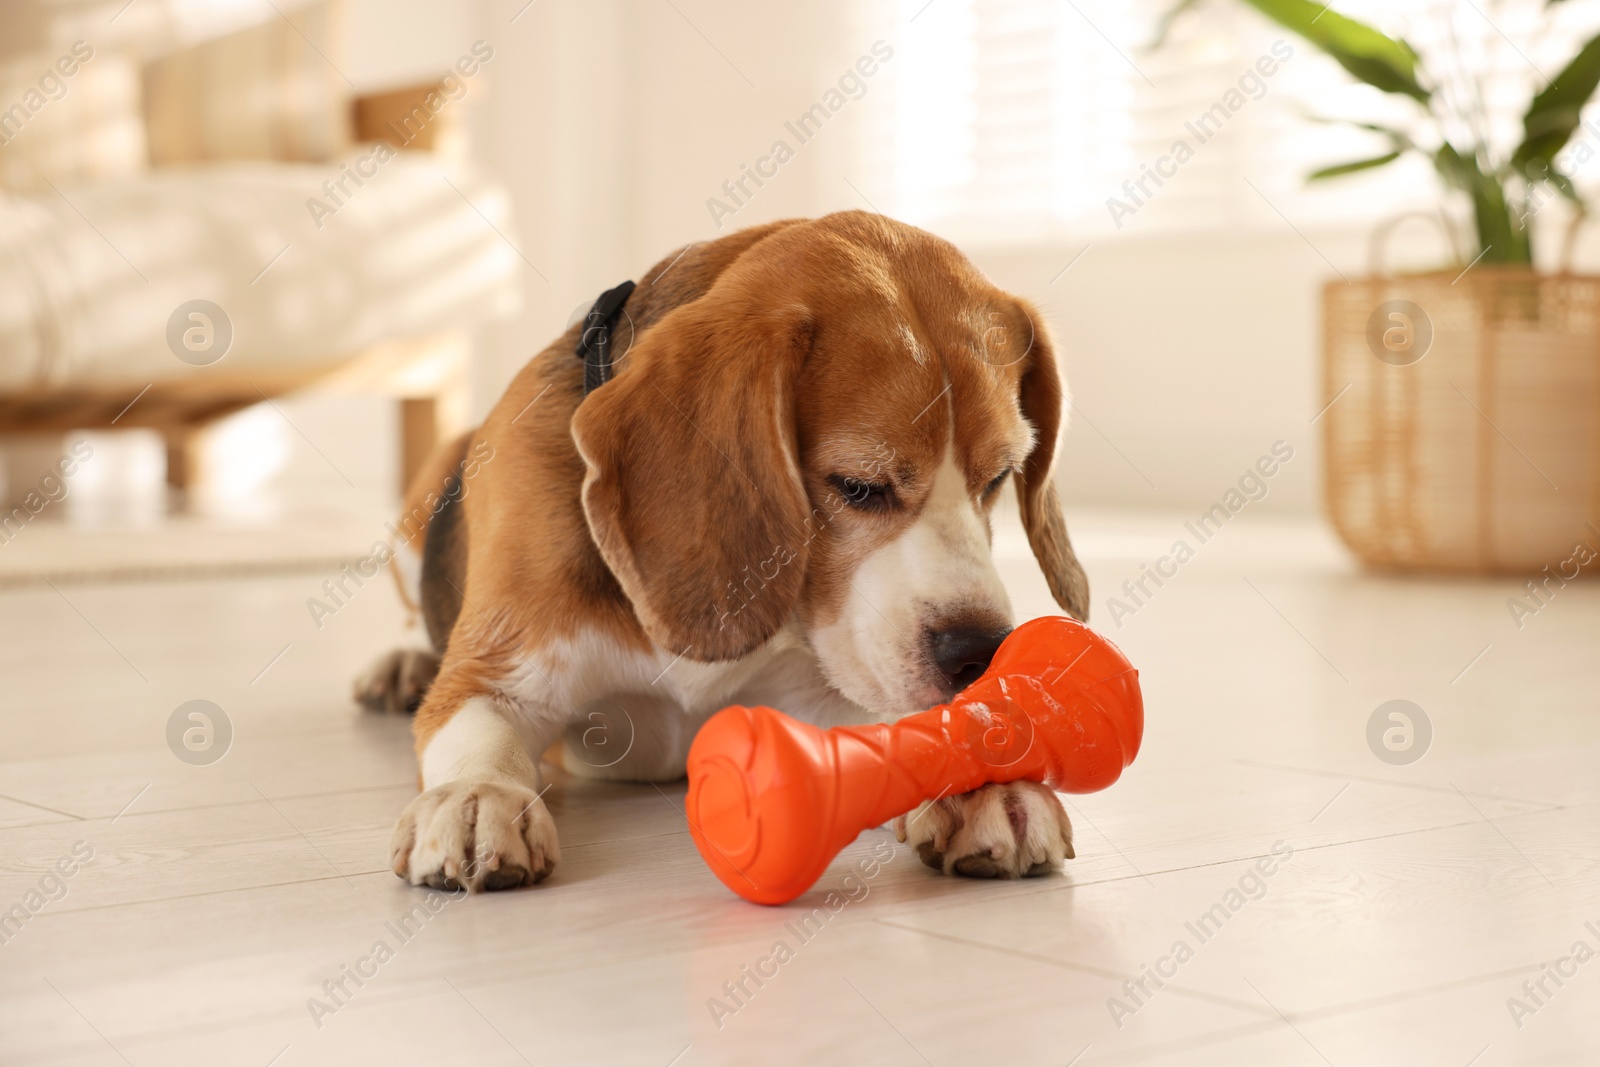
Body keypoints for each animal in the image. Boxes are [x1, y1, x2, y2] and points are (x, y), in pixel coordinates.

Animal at [358, 207, 1088, 895]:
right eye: (858, 485)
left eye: (998, 477)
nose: (981, 652)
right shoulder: (496, 676)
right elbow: (478, 733)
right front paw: (475, 797)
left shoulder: (820, 698)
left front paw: (978, 778)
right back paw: (401, 665)